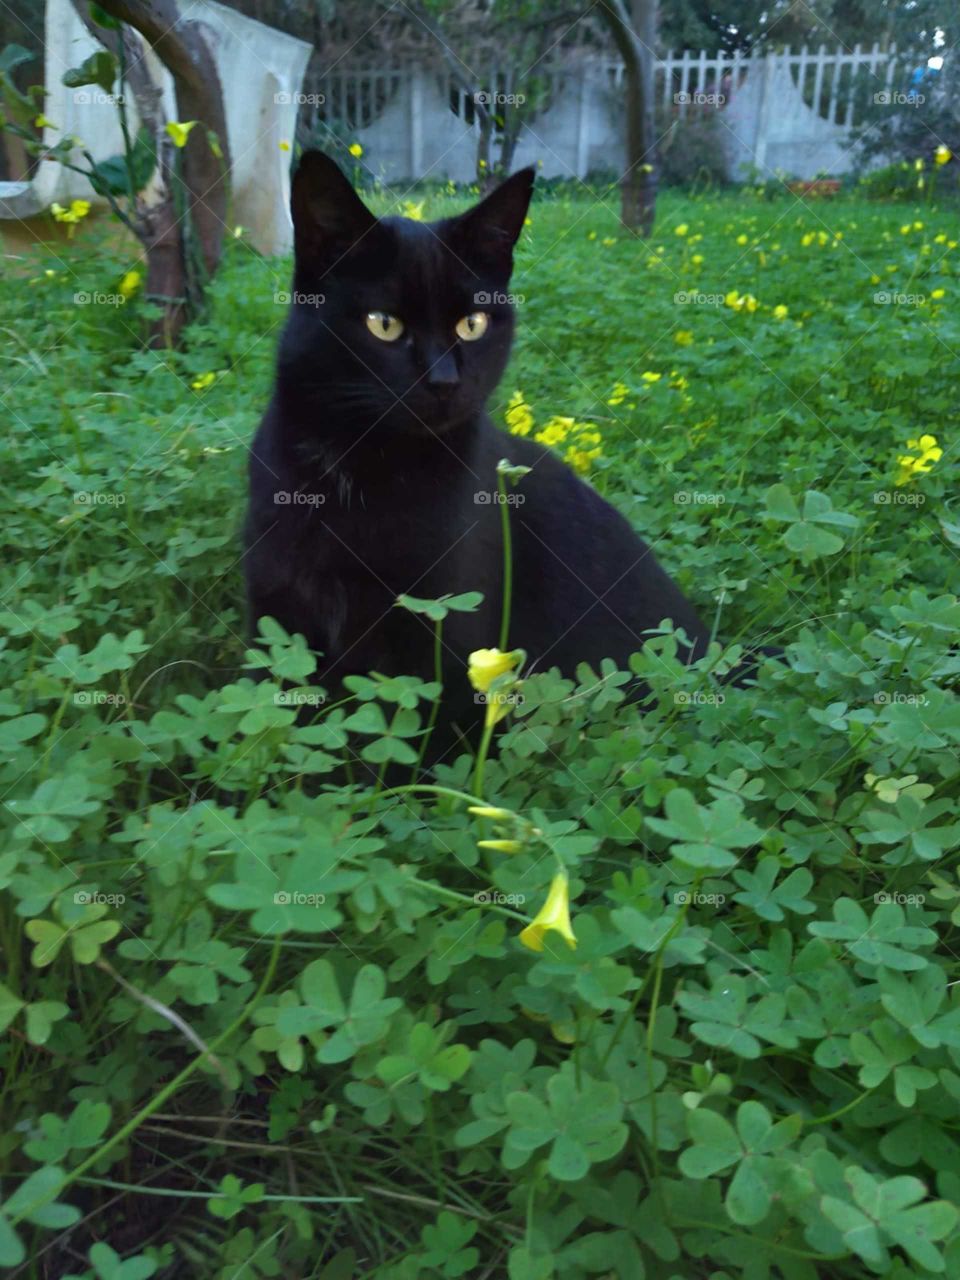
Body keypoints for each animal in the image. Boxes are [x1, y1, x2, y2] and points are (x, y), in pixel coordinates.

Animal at [244, 152, 716, 747]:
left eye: (473, 324)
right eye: (383, 324)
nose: (445, 381)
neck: (363, 466)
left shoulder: (447, 634)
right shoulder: (276, 614)